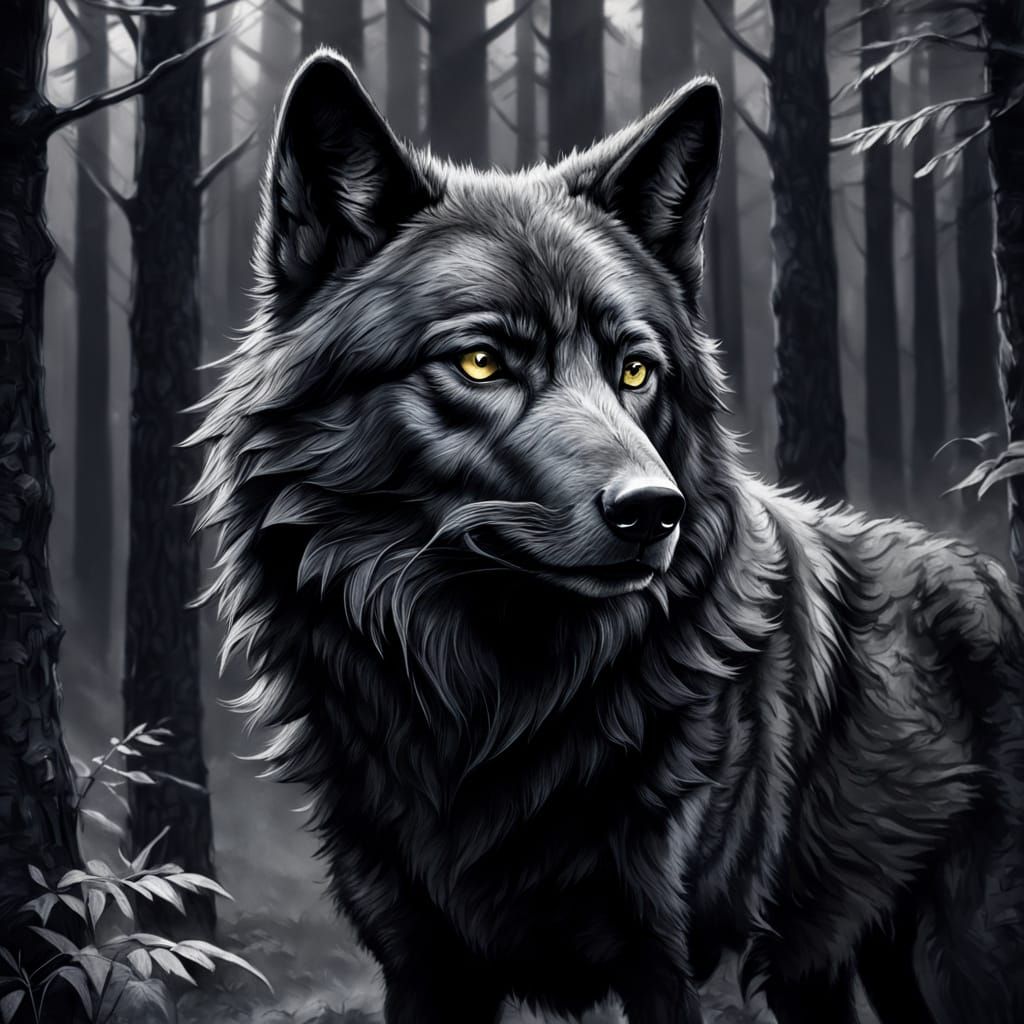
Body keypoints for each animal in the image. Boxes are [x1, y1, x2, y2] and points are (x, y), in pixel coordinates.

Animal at [190, 51, 1024, 1024]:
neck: (493, 708)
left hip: (955, 966)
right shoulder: (419, 961)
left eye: (634, 370)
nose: (653, 509)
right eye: (481, 361)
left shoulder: (685, 961)